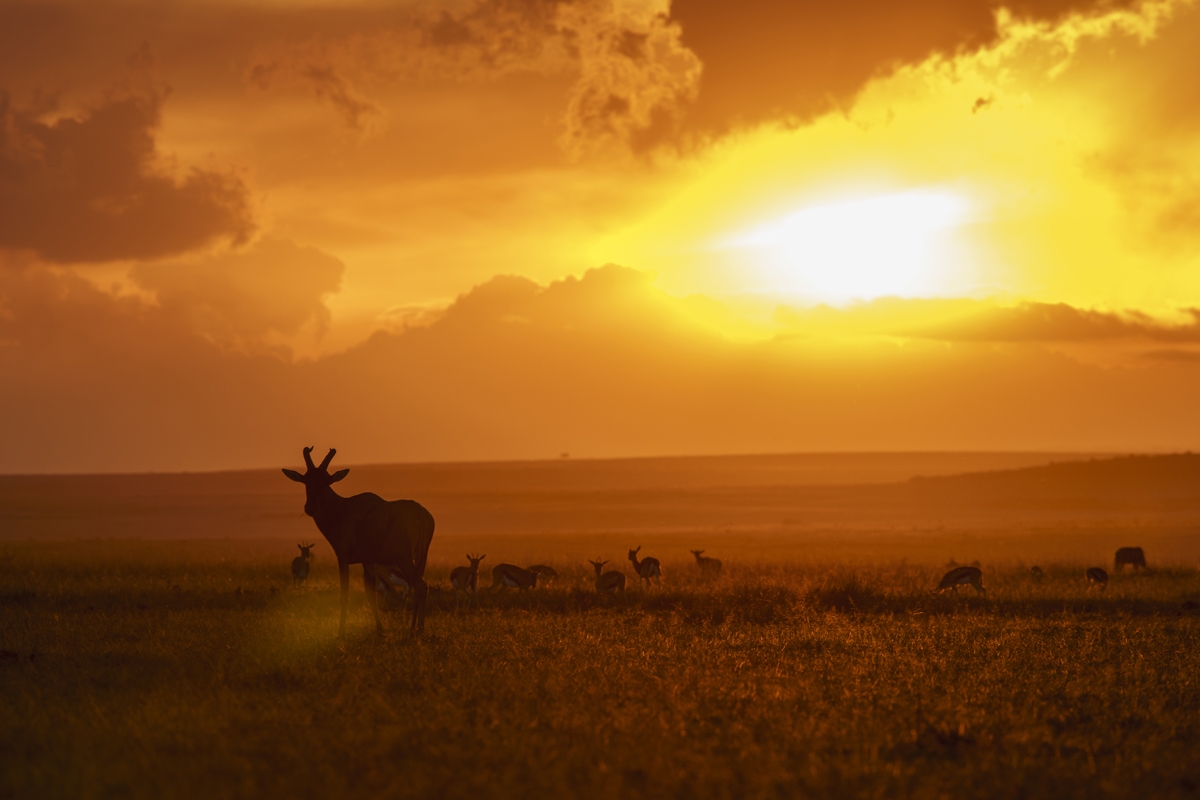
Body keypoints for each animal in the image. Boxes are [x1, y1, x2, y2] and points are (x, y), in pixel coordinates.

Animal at [284, 448, 436, 633]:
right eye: (306, 480)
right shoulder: (368, 561)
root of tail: (419, 512)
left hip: (403, 558)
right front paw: (379, 630)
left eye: (327, 481)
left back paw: (418, 631)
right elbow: (370, 594)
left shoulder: (342, 558)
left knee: (421, 586)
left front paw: (340, 634)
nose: (310, 507)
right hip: (422, 557)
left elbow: (344, 595)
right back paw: (412, 628)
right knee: (417, 586)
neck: (344, 509)